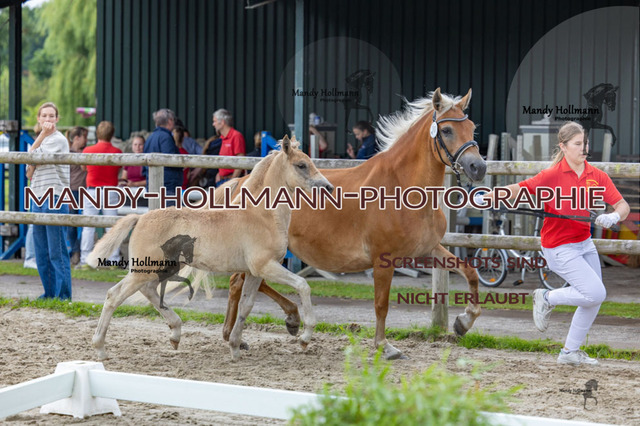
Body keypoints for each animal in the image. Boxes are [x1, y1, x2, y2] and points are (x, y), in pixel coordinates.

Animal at [87, 136, 334, 361]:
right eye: (301, 165)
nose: (328, 188)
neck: (261, 214)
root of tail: (140, 218)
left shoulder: (254, 273)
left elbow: (245, 306)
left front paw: (235, 348)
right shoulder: (266, 266)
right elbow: (303, 286)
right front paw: (305, 338)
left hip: (162, 268)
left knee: (148, 291)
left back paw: (175, 334)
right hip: (145, 269)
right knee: (114, 295)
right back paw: (100, 349)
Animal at [220, 88, 487, 360]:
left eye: (472, 128)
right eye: (447, 130)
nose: (478, 167)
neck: (402, 188)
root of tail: (243, 182)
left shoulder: (428, 249)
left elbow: (470, 272)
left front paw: (464, 321)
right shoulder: (383, 259)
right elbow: (381, 304)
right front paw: (384, 346)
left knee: (247, 282)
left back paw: (273, 325)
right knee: (239, 283)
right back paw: (245, 334)